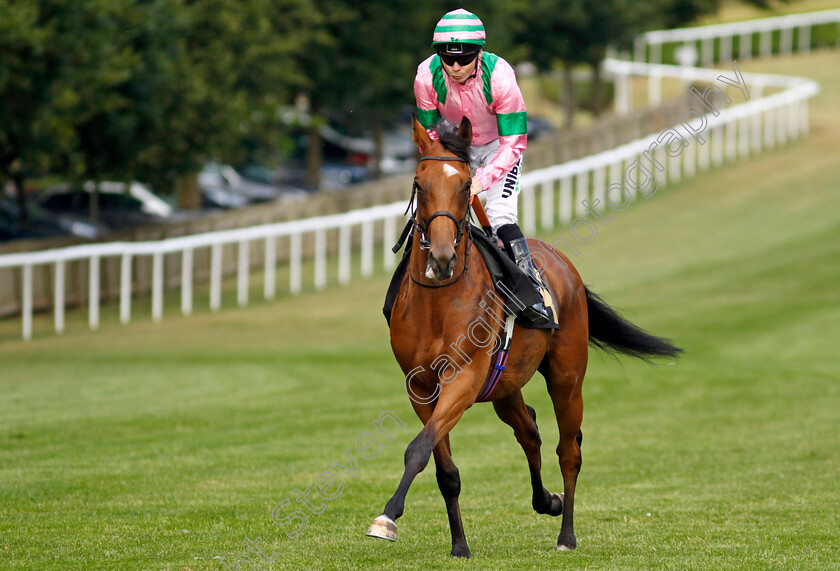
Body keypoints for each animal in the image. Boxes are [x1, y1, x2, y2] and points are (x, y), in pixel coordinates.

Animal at [368, 116, 684, 560]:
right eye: (419, 182)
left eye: (466, 185)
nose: (443, 258)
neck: (439, 300)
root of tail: (560, 261)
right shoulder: (422, 388)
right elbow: (442, 465)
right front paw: (459, 545)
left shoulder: (463, 378)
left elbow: (418, 448)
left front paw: (387, 517)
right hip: (504, 385)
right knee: (528, 428)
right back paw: (546, 500)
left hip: (567, 378)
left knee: (569, 451)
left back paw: (566, 534)